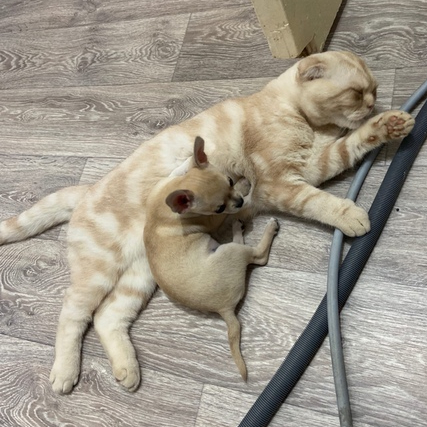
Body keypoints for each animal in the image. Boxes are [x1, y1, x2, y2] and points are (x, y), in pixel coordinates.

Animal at [143, 136, 279, 379]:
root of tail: (223, 310)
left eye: (229, 180)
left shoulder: (164, 184)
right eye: (219, 207)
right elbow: (225, 216)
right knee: (257, 255)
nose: (239, 201)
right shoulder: (213, 220)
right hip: (230, 252)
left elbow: (182, 167)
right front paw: (245, 186)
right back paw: (257, 228)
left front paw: (192, 159)